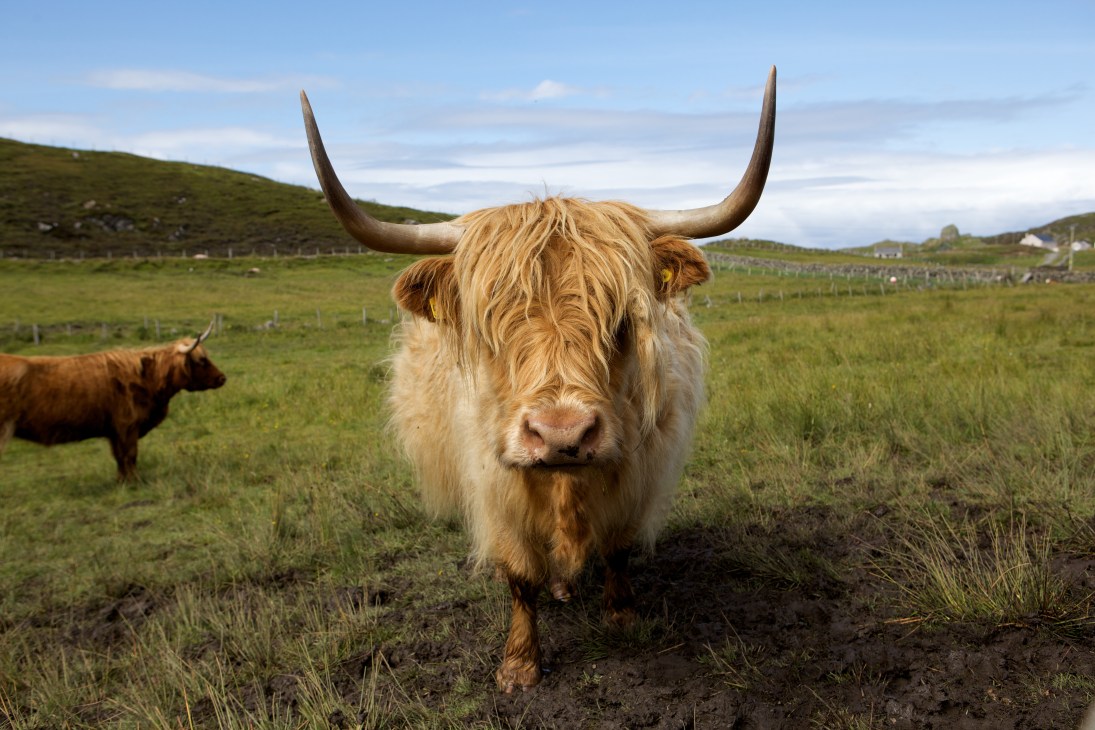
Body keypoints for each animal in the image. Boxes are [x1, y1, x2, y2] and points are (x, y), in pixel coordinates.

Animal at [0, 321, 227, 480]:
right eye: (202, 360)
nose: (222, 378)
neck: (148, 379)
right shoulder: (127, 426)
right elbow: (130, 455)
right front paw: (135, 481)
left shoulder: (114, 430)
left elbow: (119, 457)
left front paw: (122, 481)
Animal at [300, 66, 776, 692]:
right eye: (491, 326)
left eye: (622, 319)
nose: (561, 434)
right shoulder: (495, 484)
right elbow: (519, 575)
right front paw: (520, 665)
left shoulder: (637, 471)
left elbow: (618, 548)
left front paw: (621, 616)